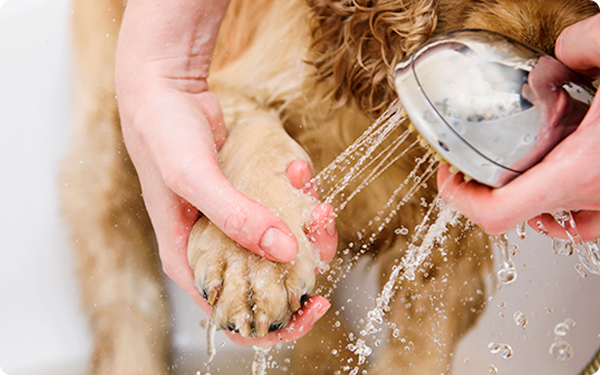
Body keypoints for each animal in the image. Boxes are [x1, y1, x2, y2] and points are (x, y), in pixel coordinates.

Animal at [59, 0, 596, 374]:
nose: (539, 80)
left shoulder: (450, 238)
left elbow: (423, 337)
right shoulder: (235, 87)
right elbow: (254, 137)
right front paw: (252, 270)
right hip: (104, 148)